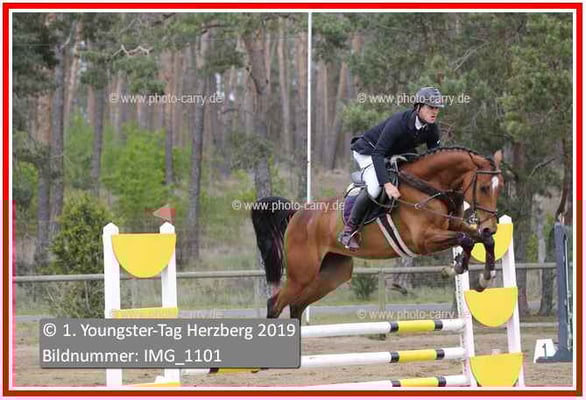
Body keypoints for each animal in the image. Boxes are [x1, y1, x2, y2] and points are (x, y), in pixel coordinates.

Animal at [251, 147, 504, 321]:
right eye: (483, 188)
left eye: (500, 187)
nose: (490, 225)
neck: (426, 186)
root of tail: (297, 213)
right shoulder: (424, 240)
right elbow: (466, 239)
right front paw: (456, 267)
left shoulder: (451, 226)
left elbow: (481, 239)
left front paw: (483, 277)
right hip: (301, 274)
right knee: (275, 303)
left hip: (332, 274)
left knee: (297, 305)